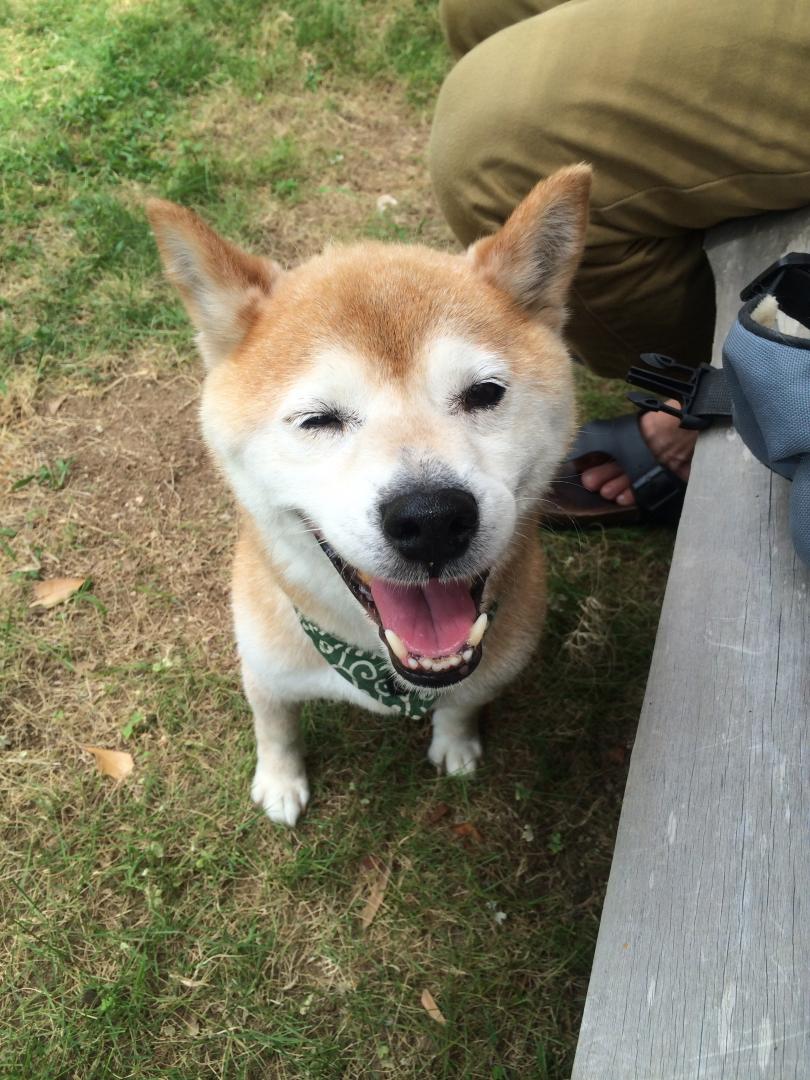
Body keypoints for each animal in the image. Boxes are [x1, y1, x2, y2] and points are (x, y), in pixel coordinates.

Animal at [149, 162, 591, 825]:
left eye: (485, 393)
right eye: (318, 419)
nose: (431, 519)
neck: (385, 674)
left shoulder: (489, 668)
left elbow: (462, 703)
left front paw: (455, 744)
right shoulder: (265, 669)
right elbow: (274, 726)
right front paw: (279, 781)